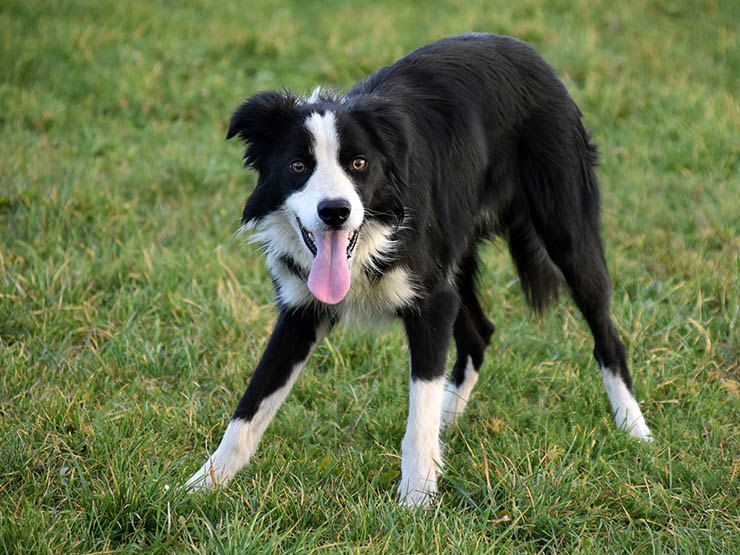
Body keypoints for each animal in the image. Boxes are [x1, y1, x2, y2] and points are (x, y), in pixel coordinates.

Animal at [186, 33, 653, 507]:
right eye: (298, 166)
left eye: (359, 164)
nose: (335, 212)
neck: (370, 241)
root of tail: (523, 48)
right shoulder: (301, 312)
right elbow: (251, 405)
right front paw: (200, 486)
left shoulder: (431, 301)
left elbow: (419, 405)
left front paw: (416, 499)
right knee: (479, 334)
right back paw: (449, 420)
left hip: (567, 231)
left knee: (607, 335)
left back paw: (635, 430)